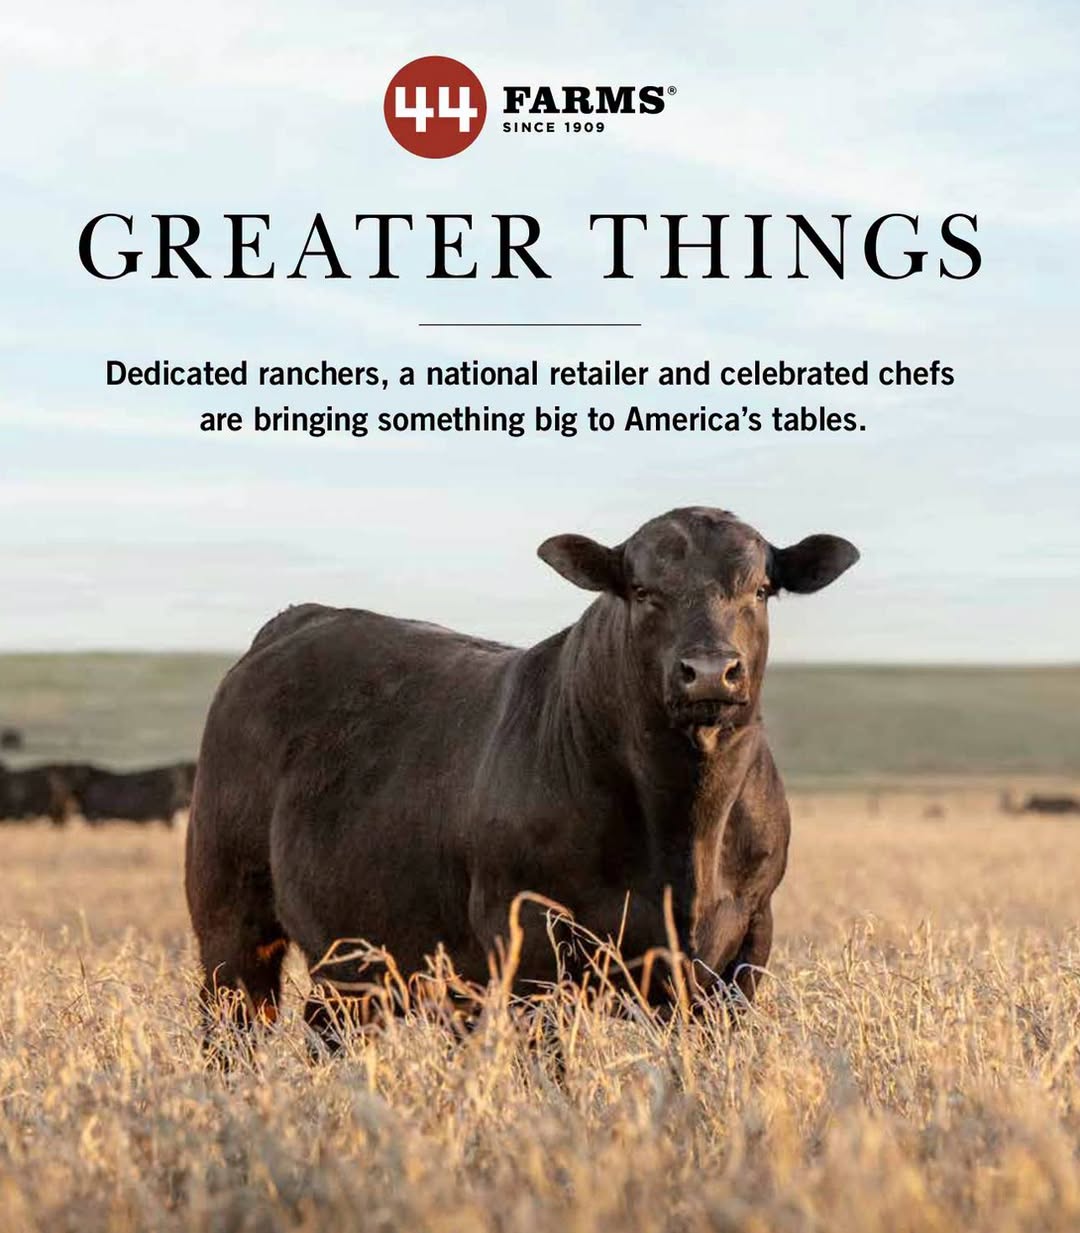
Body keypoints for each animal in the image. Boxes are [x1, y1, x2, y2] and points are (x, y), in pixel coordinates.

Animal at [185, 507, 859, 1041]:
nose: (711, 671)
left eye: (762, 589)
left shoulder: (745, 943)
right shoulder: (528, 946)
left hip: (351, 956)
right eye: (643, 590)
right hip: (229, 918)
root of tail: (296, 619)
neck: (686, 824)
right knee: (231, 1027)